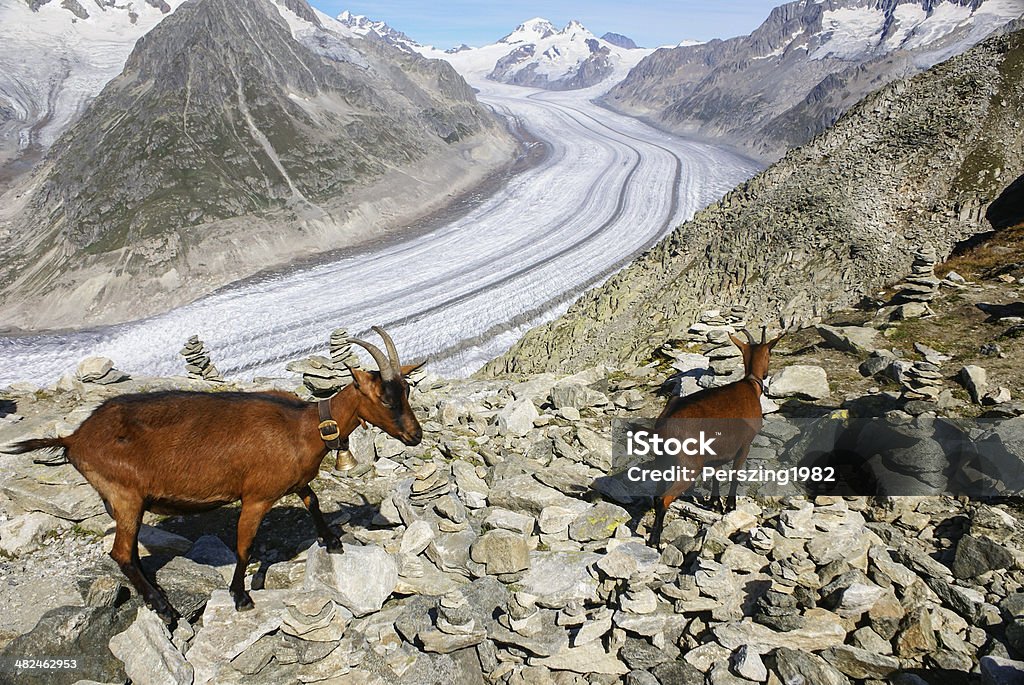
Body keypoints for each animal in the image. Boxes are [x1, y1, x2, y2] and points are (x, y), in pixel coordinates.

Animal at [4, 325, 419, 626]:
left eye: (407, 391)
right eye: (385, 398)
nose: (415, 435)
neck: (304, 427)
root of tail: (74, 438)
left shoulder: (296, 481)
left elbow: (313, 499)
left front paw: (332, 541)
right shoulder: (256, 496)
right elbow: (244, 545)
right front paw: (241, 596)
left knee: (130, 552)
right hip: (126, 496)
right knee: (121, 552)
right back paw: (164, 608)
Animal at [647, 325, 782, 544]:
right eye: (769, 353)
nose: (767, 373)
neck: (750, 385)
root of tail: (665, 424)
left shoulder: (718, 449)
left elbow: (717, 473)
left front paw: (715, 503)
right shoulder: (745, 444)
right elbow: (735, 473)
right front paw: (730, 506)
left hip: (662, 461)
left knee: (656, 493)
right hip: (689, 465)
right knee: (662, 499)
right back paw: (654, 541)